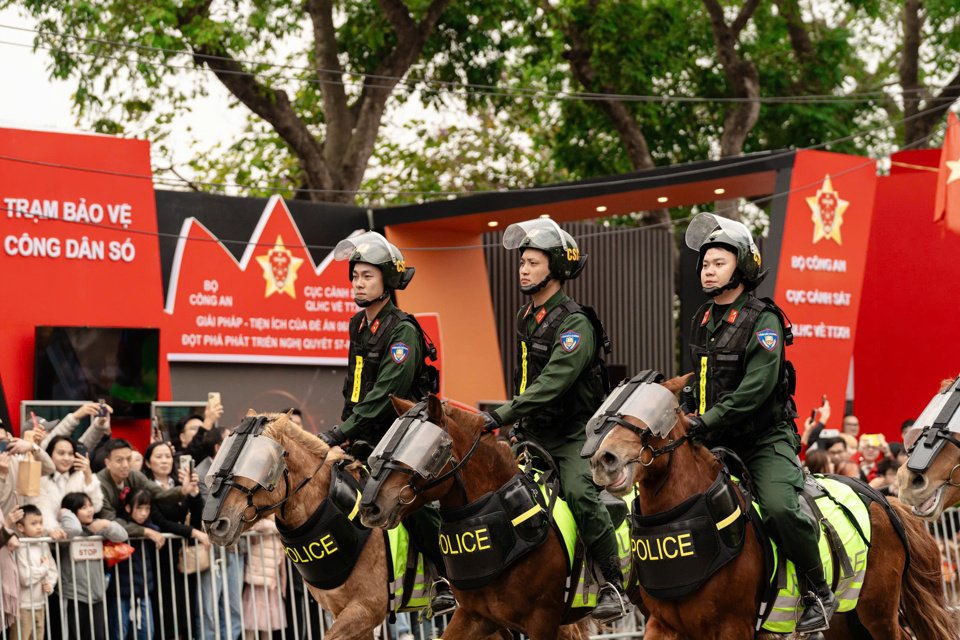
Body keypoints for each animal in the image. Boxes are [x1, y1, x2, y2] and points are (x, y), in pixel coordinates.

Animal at [588, 376, 956, 640]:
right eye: (603, 413)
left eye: (651, 416)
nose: (603, 459)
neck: (683, 517)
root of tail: (882, 498)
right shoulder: (663, 625)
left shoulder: (731, 627)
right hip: (846, 618)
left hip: (876, 610)